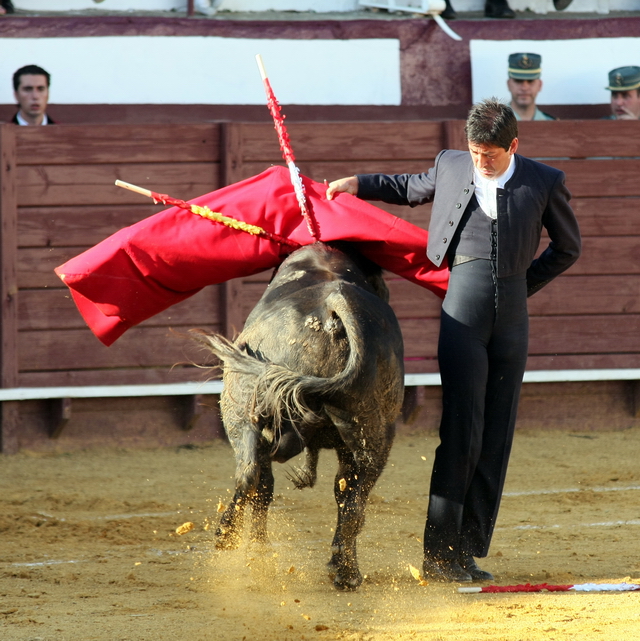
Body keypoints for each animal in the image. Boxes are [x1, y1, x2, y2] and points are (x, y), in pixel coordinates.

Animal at [196, 241, 404, 592]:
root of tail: (335, 302)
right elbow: (342, 493)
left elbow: (263, 485)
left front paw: (254, 548)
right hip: (372, 433)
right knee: (355, 498)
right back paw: (345, 572)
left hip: (243, 409)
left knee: (250, 473)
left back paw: (230, 536)